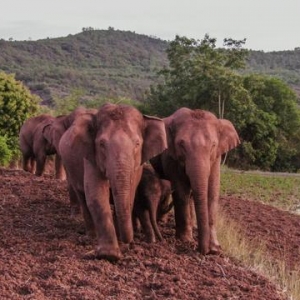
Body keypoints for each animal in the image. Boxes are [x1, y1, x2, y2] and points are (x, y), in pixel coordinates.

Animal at [58, 103, 166, 260]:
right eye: (102, 144)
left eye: (137, 143)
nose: (129, 241)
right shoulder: (91, 157)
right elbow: (96, 195)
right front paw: (109, 255)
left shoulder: (137, 165)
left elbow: (130, 194)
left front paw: (120, 242)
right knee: (82, 196)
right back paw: (90, 237)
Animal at [151, 108, 240, 255]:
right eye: (181, 144)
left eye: (213, 145)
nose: (204, 251)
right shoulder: (171, 156)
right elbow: (181, 192)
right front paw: (186, 240)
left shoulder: (216, 158)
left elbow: (212, 192)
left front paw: (215, 248)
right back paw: (162, 221)